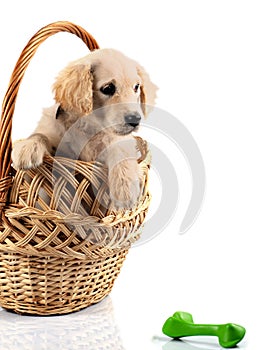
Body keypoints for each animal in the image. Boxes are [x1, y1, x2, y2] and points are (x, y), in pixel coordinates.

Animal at [12, 48, 157, 208]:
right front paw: (27, 148)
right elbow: (40, 135)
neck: (89, 125)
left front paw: (125, 190)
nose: (135, 120)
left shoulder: (117, 142)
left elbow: (121, 152)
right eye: (108, 88)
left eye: (136, 87)